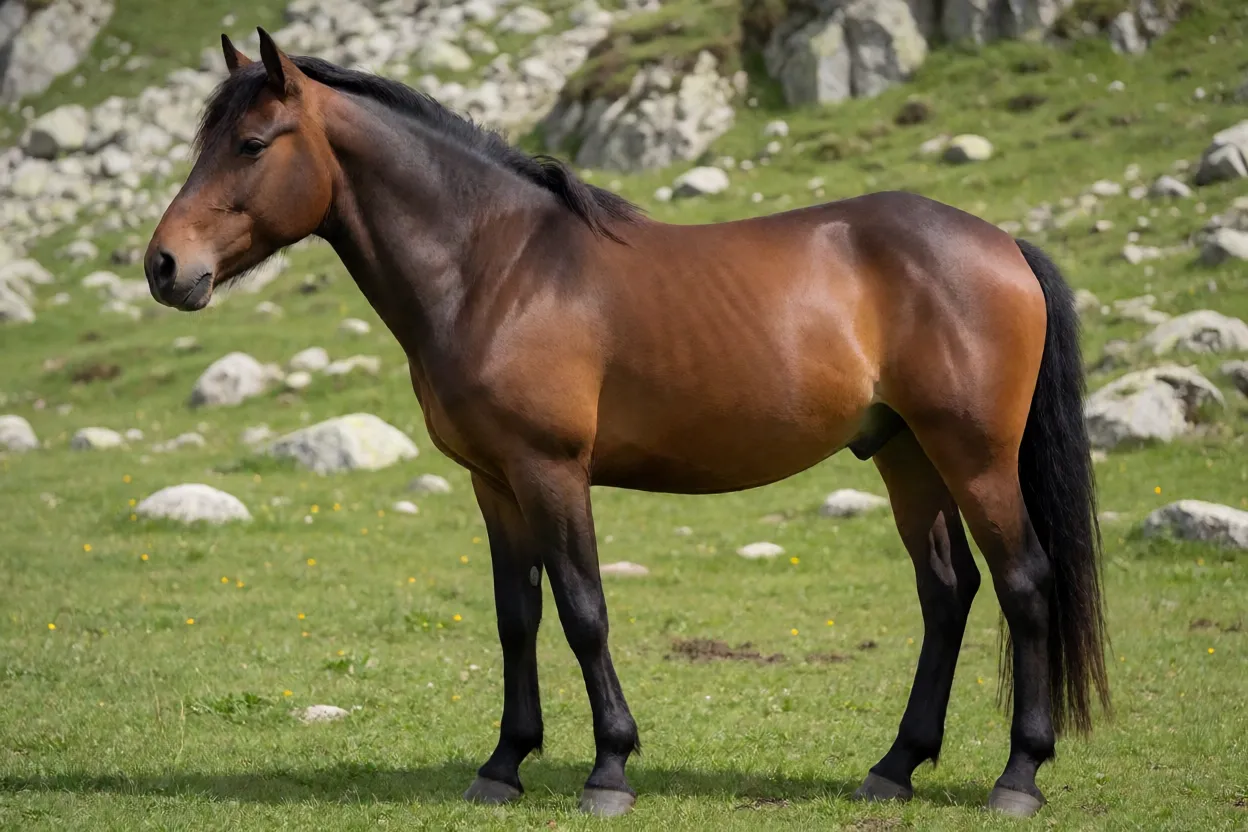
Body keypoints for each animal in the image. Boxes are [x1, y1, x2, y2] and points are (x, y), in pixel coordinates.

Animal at [145, 28, 1110, 819]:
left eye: (252, 144)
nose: (164, 267)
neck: (497, 266)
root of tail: (1003, 244)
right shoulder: (494, 484)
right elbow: (517, 617)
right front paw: (503, 766)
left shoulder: (551, 470)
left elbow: (583, 611)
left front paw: (609, 767)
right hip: (905, 454)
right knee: (947, 593)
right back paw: (895, 767)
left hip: (973, 455)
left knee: (1025, 582)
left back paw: (1018, 777)